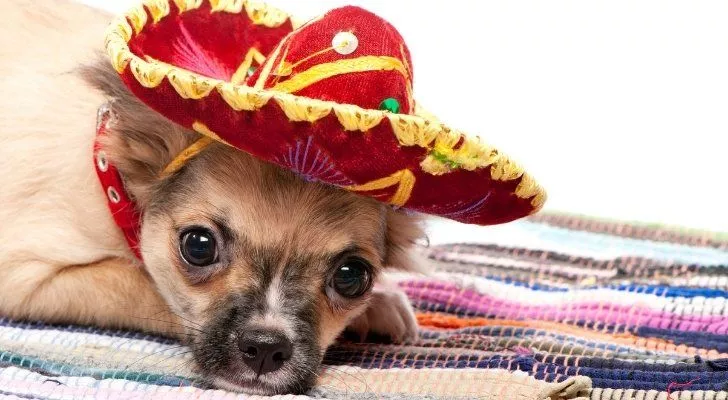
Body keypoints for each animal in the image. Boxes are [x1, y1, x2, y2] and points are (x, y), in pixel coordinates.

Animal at [0, 0, 426, 394]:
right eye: (198, 246)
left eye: (352, 276)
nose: (266, 347)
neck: (113, 174)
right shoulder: (26, 277)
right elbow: (141, 284)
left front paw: (379, 305)